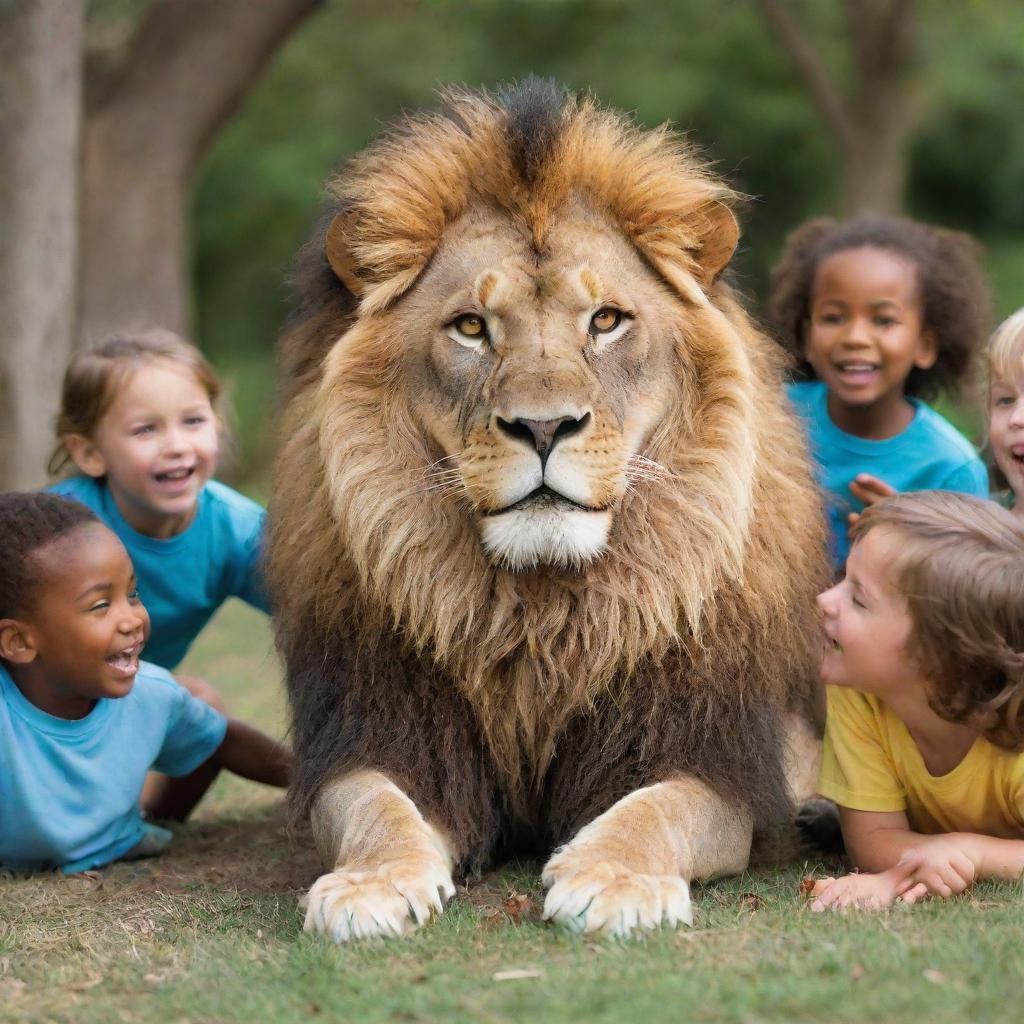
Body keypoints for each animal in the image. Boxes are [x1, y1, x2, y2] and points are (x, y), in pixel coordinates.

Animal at [268, 81, 827, 942]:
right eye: (471, 327)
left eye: (606, 321)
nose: (542, 427)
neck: (540, 613)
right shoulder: (385, 732)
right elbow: (376, 810)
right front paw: (369, 884)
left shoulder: (707, 752)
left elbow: (654, 810)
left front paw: (613, 878)